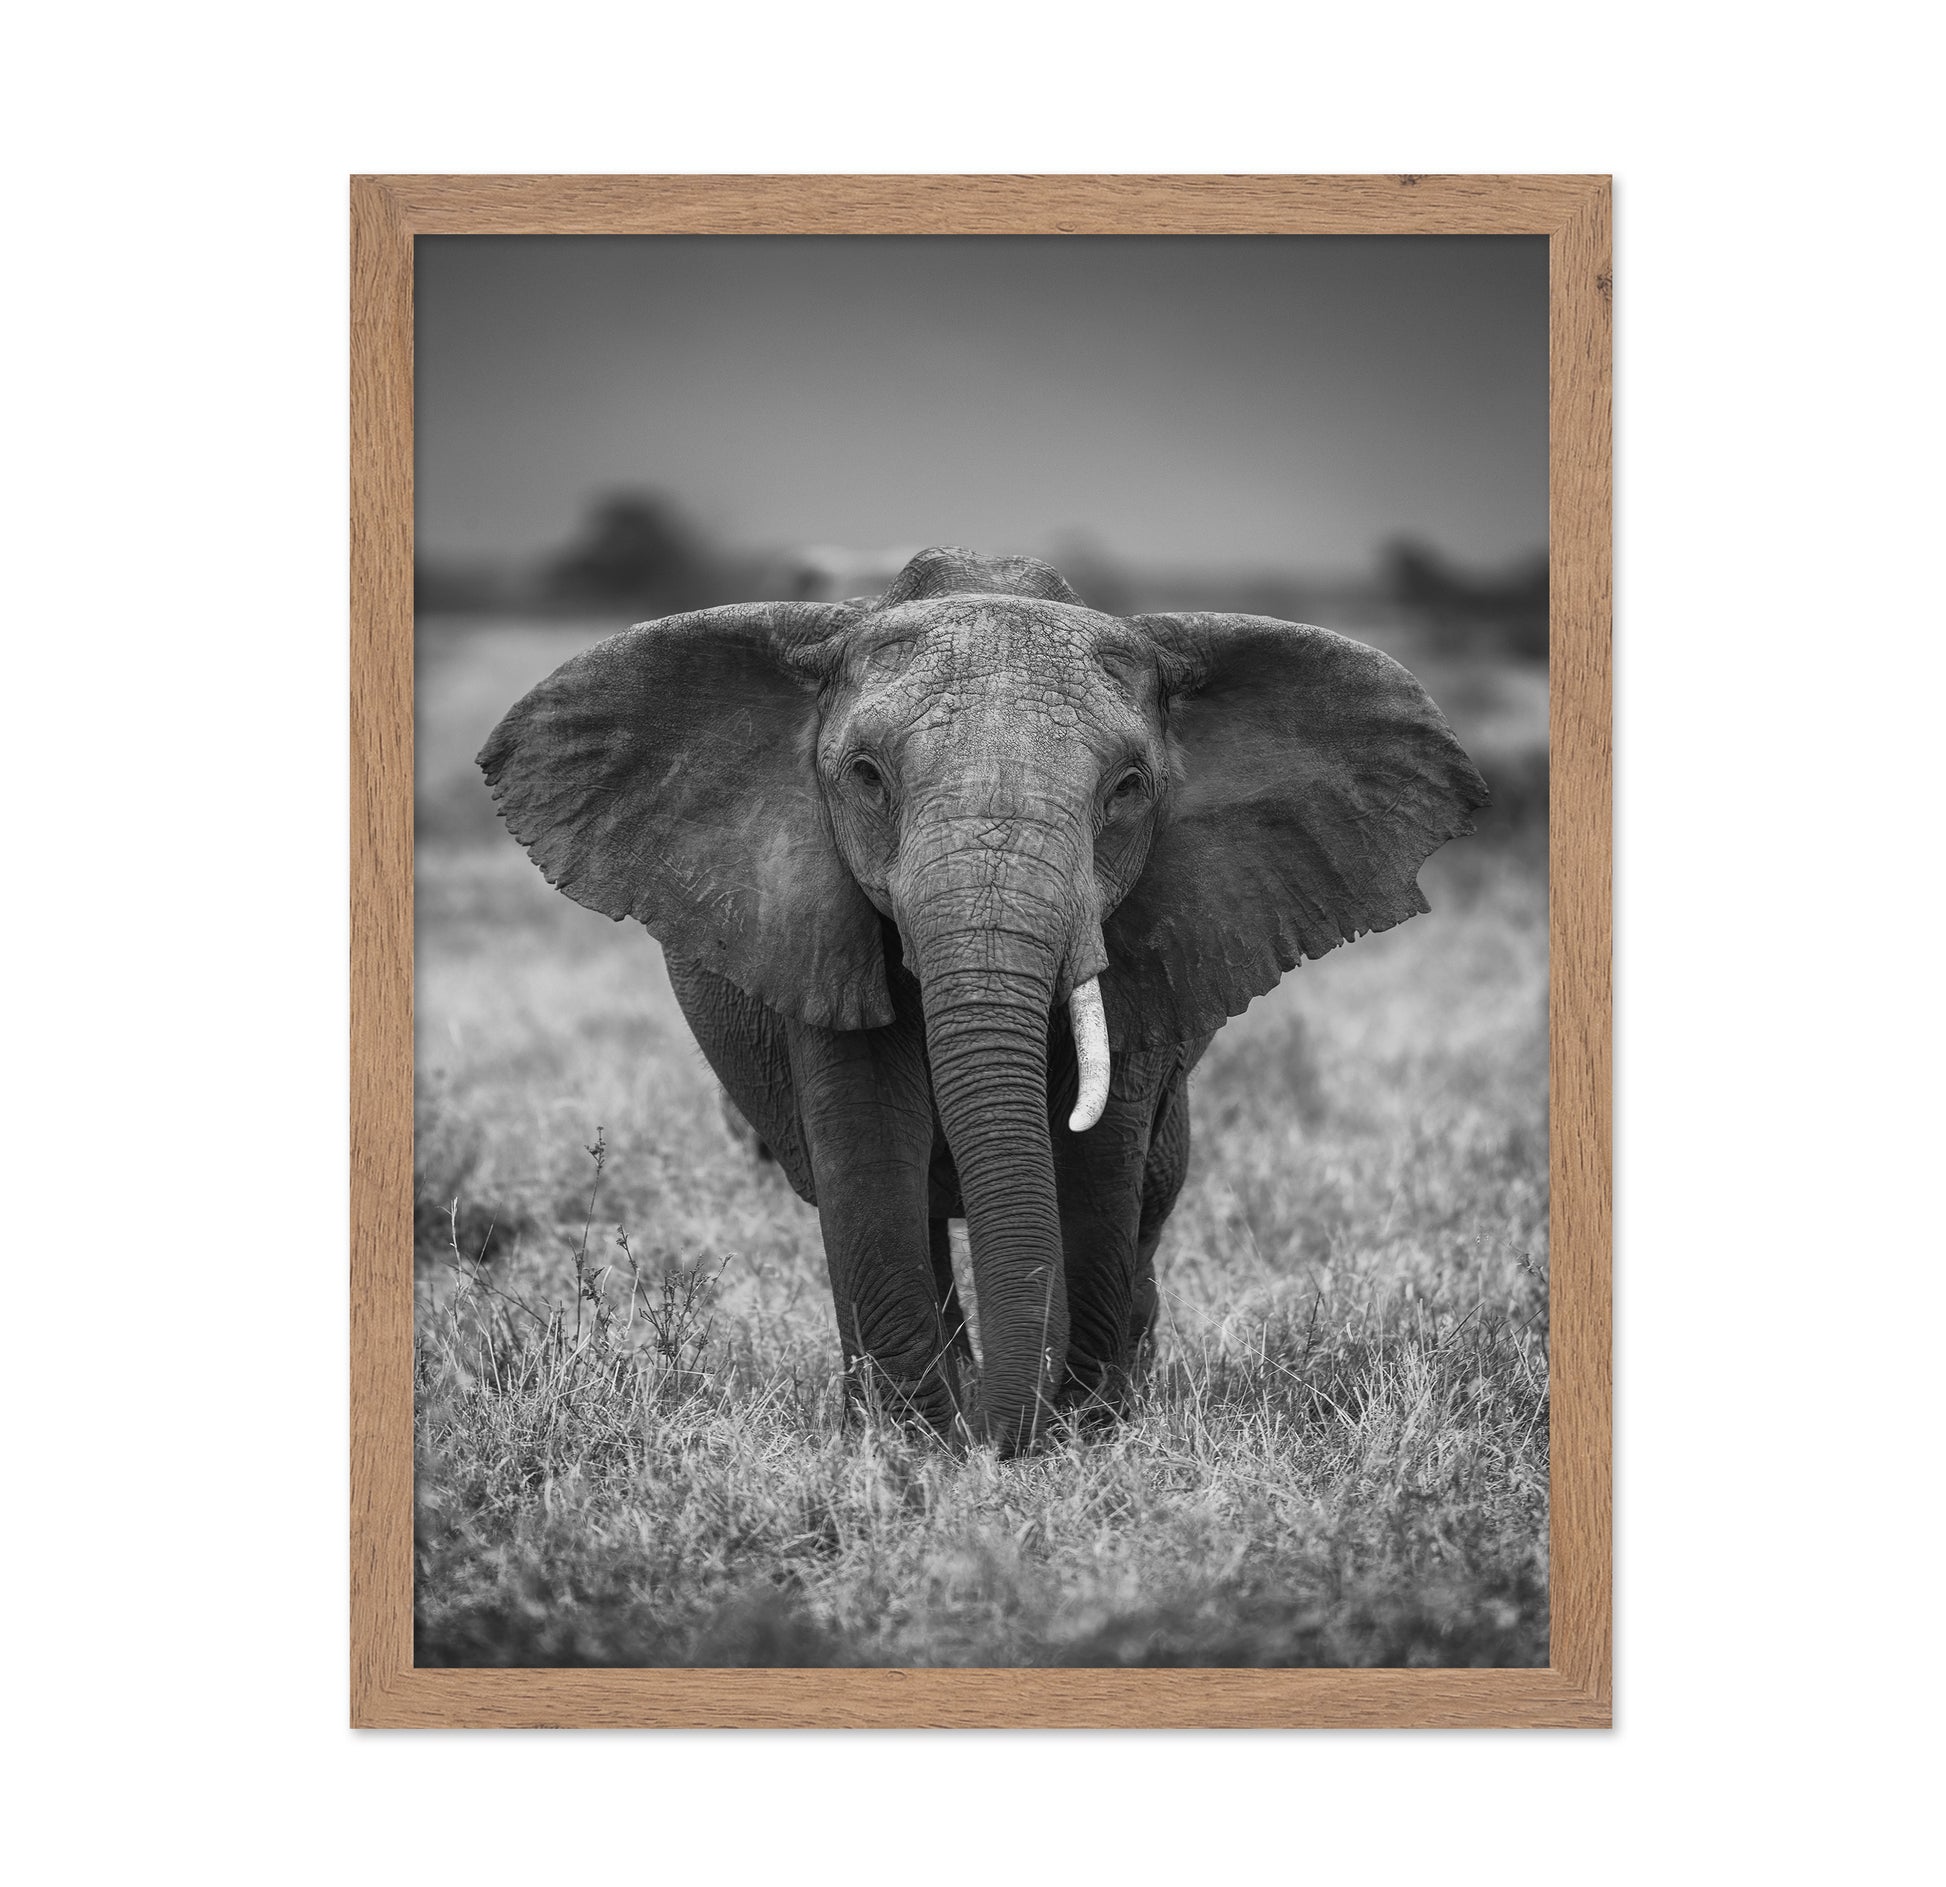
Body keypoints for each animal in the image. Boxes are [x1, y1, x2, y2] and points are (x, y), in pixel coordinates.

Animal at [479, 545, 1488, 1453]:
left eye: (1128, 790)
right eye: (866, 777)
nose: (1003, 1439)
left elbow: (1099, 1158)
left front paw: (1077, 1433)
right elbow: (868, 1145)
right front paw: (915, 1444)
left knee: (1154, 1191)